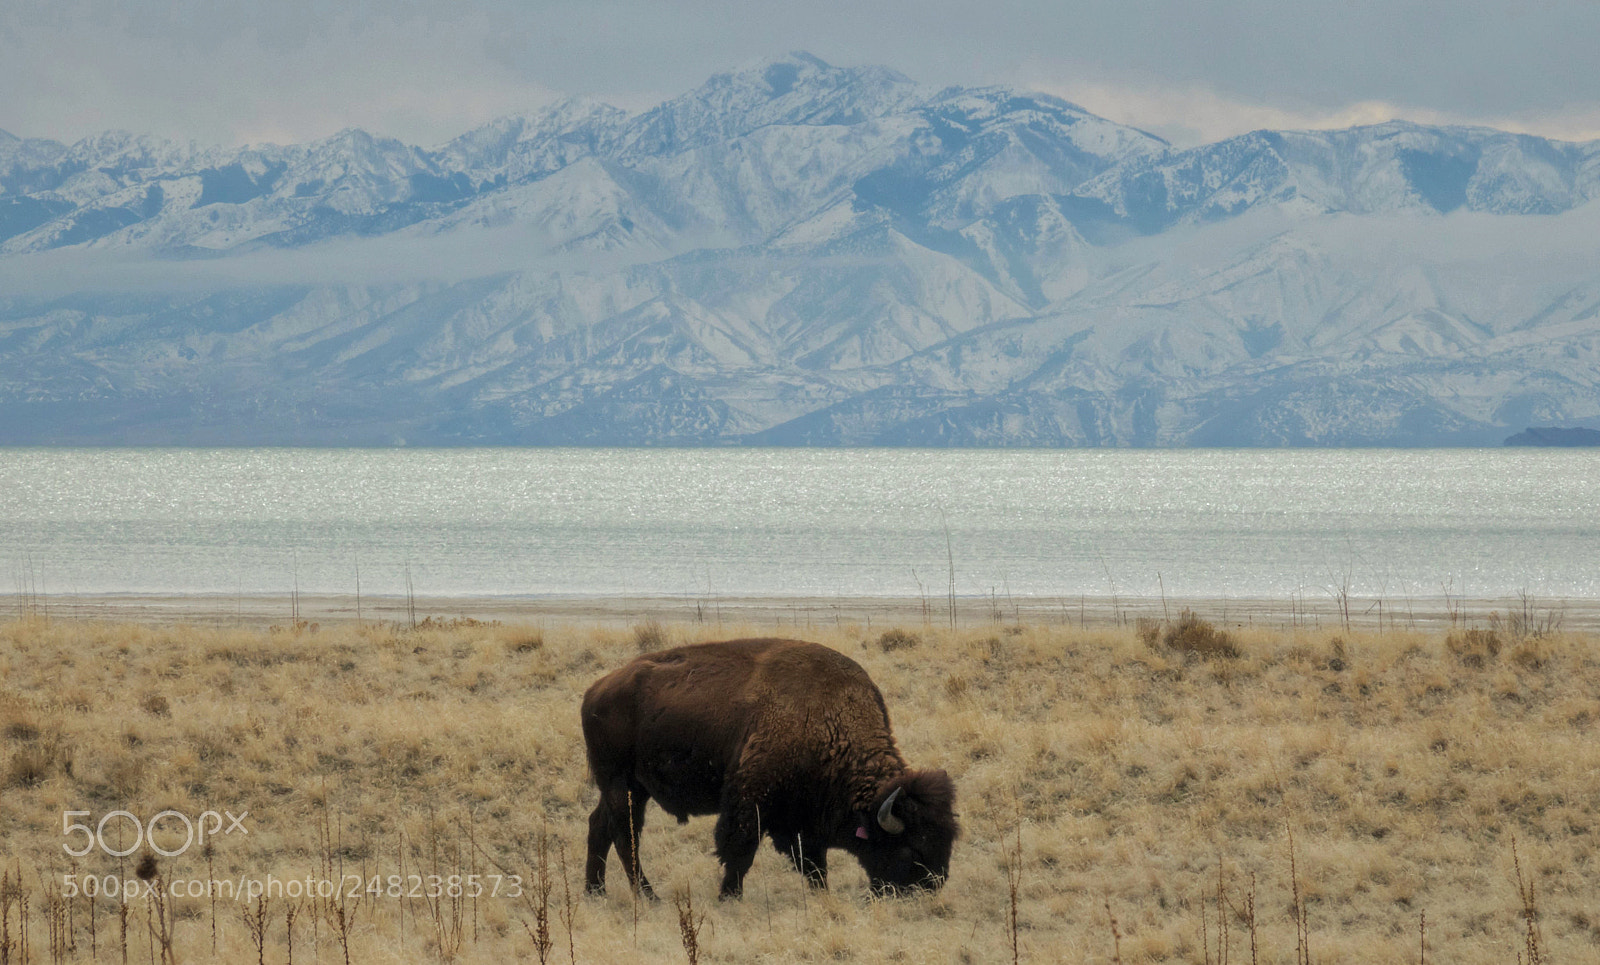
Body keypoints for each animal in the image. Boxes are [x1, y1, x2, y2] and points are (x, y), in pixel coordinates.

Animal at [581, 637, 958, 899]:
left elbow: (813, 862)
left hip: (630, 787)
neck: (829, 721)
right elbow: (740, 851)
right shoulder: (750, 800)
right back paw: (649, 896)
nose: (932, 885)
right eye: (912, 847)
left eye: (948, 839)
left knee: (599, 825)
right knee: (625, 835)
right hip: (621, 784)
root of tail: (595, 691)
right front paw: (729, 897)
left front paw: (821, 895)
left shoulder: (802, 817)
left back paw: (595, 891)